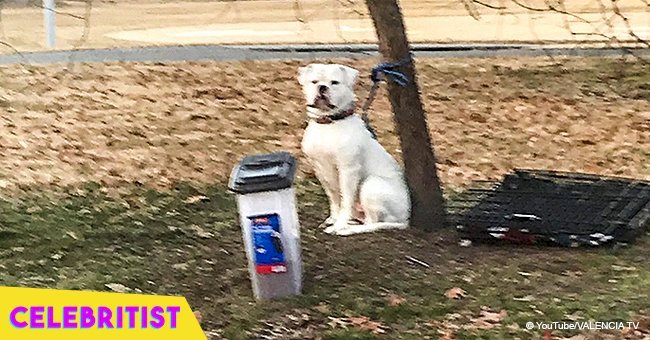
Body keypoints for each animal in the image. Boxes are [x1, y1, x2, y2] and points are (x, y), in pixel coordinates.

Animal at [296, 62, 408, 235]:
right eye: (314, 82)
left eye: (334, 82)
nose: (322, 87)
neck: (329, 123)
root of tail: (406, 218)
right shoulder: (320, 169)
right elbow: (334, 198)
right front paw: (333, 219)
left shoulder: (348, 170)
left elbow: (346, 200)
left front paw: (339, 225)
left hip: (372, 185)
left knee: (371, 222)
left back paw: (347, 229)